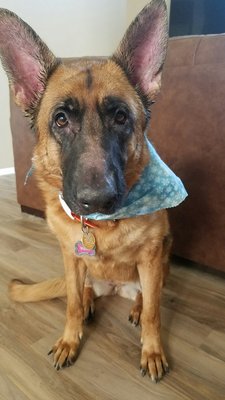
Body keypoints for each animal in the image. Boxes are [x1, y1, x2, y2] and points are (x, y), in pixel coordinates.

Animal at [0, 0, 178, 382]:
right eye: (61, 120)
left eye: (121, 117)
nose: (98, 200)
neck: (101, 229)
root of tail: (112, 286)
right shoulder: (70, 257)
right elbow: (69, 305)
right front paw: (71, 339)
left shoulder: (152, 257)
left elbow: (154, 312)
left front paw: (152, 349)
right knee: (81, 294)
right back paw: (87, 305)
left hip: (163, 261)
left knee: (146, 297)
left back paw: (134, 306)